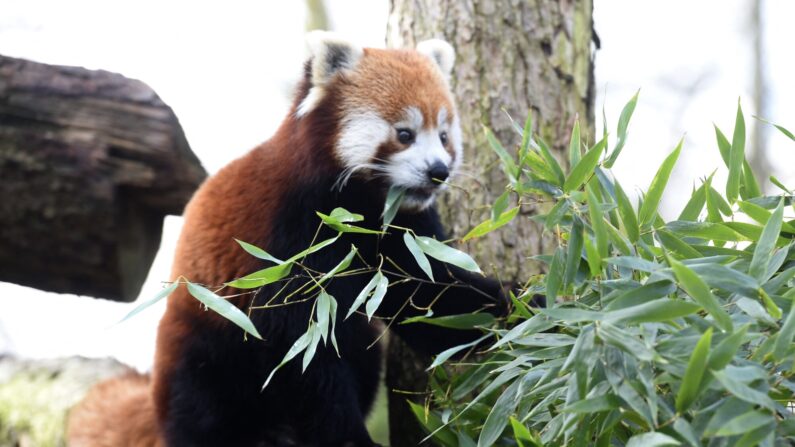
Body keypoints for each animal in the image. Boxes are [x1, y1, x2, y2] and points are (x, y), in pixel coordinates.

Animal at [71, 32, 512, 447]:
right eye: (404, 134)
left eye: (444, 136)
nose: (439, 171)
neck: (357, 213)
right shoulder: (288, 236)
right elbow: (300, 346)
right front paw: (347, 437)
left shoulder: (400, 233)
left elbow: (428, 292)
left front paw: (516, 307)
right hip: (202, 340)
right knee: (202, 401)